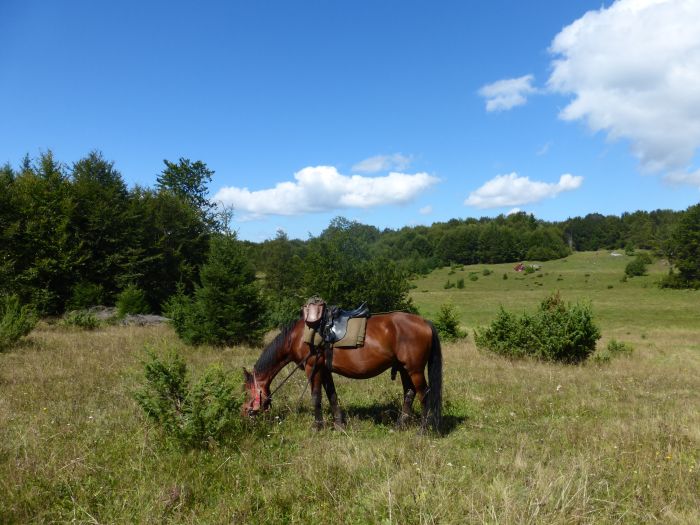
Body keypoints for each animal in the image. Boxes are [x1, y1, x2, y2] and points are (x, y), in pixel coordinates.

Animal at [242, 312, 442, 430]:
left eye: (247, 391)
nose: (244, 412)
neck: (297, 337)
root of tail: (424, 322)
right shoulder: (324, 370)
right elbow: (332, 395)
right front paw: (338, 424)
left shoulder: (312, 368)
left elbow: (316, 397)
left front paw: (317, 426)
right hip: (404, 368)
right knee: (409, 393)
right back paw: (400, 426)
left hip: (414, 369)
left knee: (424, 394)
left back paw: (423, 430)